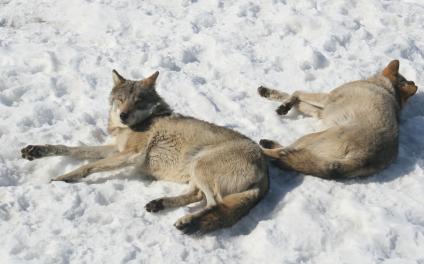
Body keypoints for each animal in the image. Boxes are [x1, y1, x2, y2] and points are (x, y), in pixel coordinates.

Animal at [20, 69, 268, 233]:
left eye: (138, 101)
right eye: (121, 99)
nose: (123, 115)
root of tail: (267, 169)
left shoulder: (130, 155)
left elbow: (88, 165)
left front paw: (64, 177)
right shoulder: (115, 149)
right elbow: (73, 150)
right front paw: (36, 150)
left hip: (200, 165)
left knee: (214, 203)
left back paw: (188, 221)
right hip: (195, 170)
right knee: (197, 196)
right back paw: (159, 204)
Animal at [258, 59, 418, 179]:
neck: (386, 88)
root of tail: (364, 158)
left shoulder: (326, 98)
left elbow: (296, 92)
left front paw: (284, 106)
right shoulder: (321, 111)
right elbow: (295, 98)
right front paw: (269, 94)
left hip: (312, 137)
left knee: (283, 152)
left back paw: (261, 147)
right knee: (291, 152)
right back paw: (267, 143)